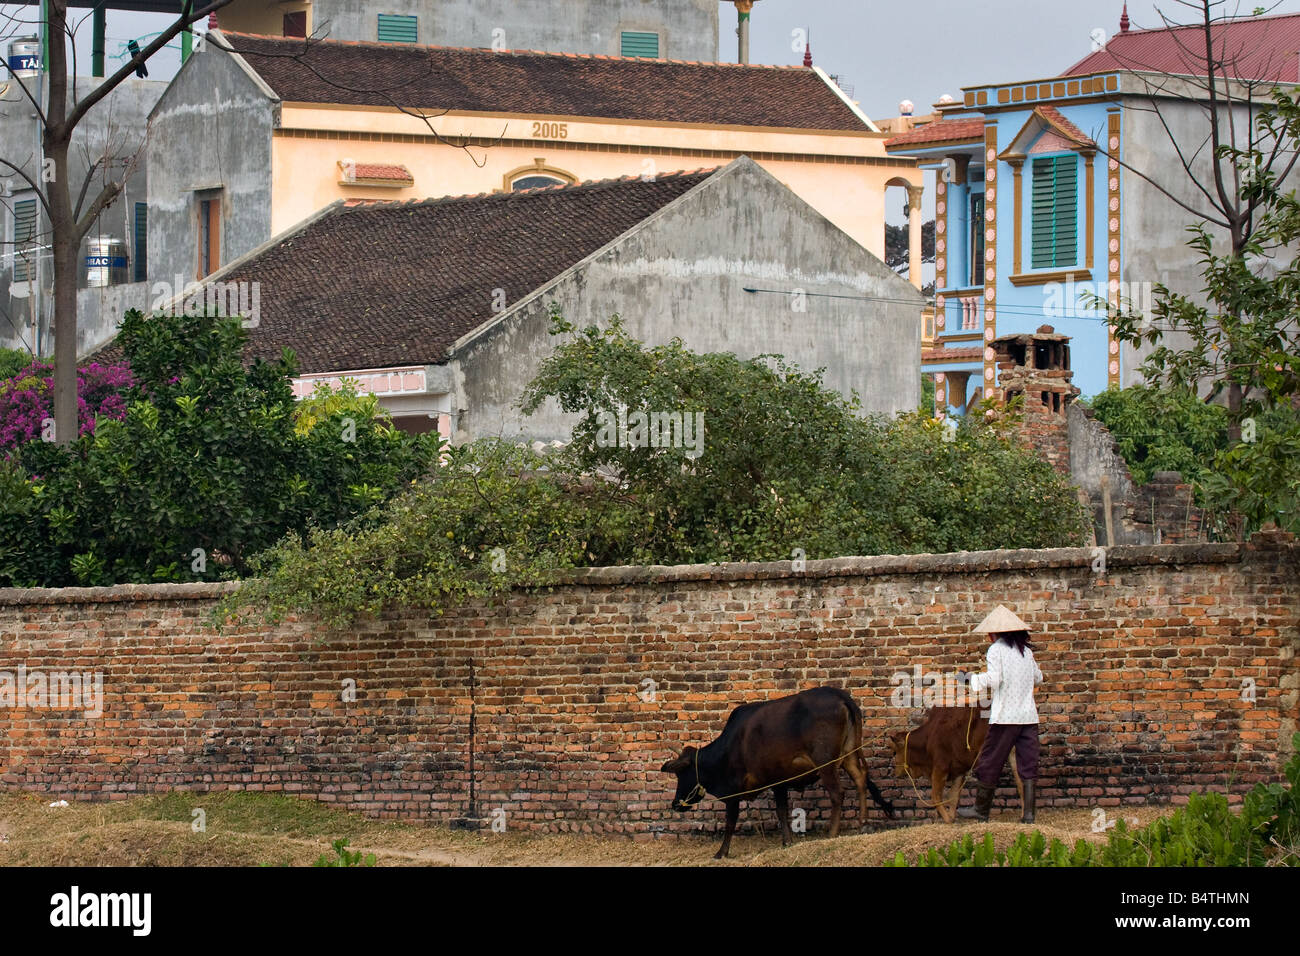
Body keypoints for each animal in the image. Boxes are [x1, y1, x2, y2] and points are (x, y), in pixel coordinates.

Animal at [660, 686, 894, 858]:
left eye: (681, 774)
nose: (675, 804)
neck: (725, 751)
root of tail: (841, 695)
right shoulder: (778, 781)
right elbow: (782, 812)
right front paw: (787, 841)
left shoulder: (733, 792)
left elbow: (730, 823)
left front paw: (721, 853)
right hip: (849, 754)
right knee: (861, 780)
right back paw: (863, 823)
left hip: (827, 763)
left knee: (838, 793)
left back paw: (832, 833)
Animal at [889, 707, 1019, 827]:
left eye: (895, 752)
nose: (894, 772)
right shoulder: (959, 769)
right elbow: (954, 796)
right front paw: (951, 818)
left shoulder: (940, 767)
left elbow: (935, 796)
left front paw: (947, 820)